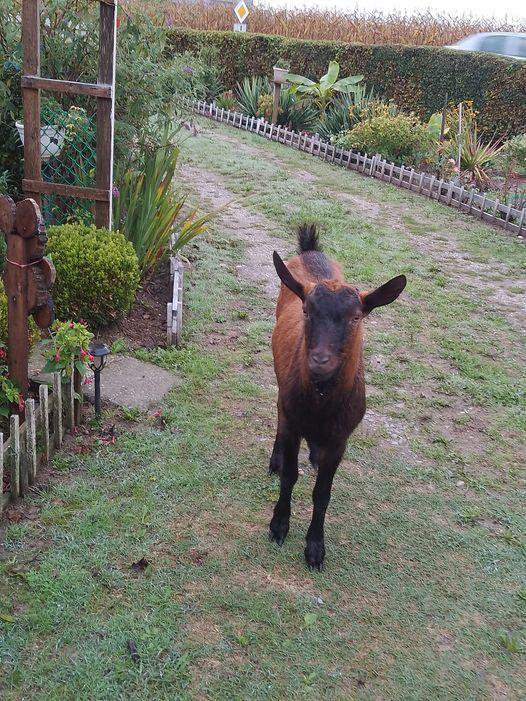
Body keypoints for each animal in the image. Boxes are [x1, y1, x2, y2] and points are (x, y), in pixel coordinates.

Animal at [268, 224, 408, 568]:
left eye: (357, 317)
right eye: (306, 310)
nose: (319, 361)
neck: (320, 406)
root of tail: (310, 250)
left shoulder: (341, 439)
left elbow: (322, 493)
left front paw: (315, 547)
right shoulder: (293, 420)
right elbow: (290, 476)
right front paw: (279, 525)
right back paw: (276, 458)